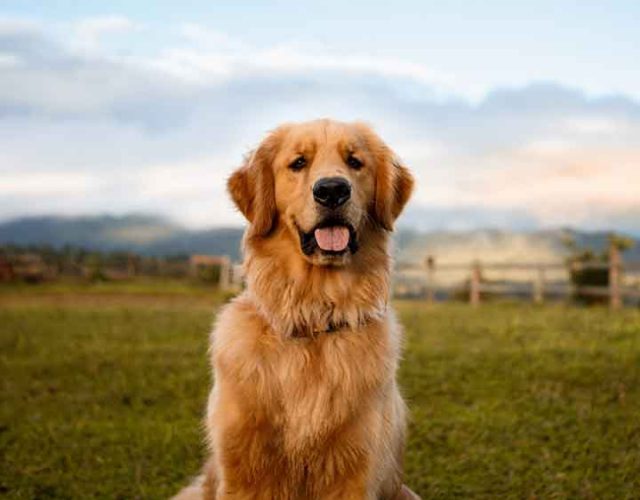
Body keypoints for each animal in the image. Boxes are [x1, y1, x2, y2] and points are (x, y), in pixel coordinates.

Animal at [174, 119, 420, 498]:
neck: (313, 316)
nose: (332, 190)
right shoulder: (245, 471)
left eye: (355, 162)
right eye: (298, 163)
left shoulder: (354, 470)